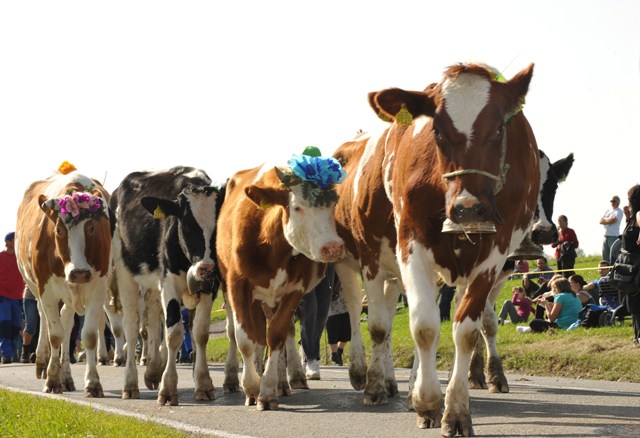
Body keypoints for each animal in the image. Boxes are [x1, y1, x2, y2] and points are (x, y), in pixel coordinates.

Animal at [108, 166, 222, 406]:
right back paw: (130, 384)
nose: (206, 268)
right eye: (186, 224)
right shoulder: (168, 282)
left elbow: (200, 333)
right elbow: (174, 334)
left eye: (219, 224)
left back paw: (152, 370)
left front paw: (203, 384)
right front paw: (168, 388)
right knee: (131, 328)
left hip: (152, 286)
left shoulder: (210, 286)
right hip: (125, 275)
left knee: (151, 321)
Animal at [215, 147, 344, 410]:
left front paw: (266, 390)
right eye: (298, 207)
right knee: (240, 333)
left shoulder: (295, 291)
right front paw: (251, 387)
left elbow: (276, 335)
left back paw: (286, 381)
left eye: (333, 205)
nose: (333, 247)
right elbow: (246, 339)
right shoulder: (238, 286)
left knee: (282, 336)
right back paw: (237, 379)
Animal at [336, 63, 540, 436]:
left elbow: (467, 330)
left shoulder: (494, 254)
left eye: (499, 129)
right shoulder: (409, 244)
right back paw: (369, 380)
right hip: (355, 258)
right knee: (365, 317)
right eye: (438, 132)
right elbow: (423, 326)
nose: (468, 209)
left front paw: (455, 409)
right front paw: (426, 400)